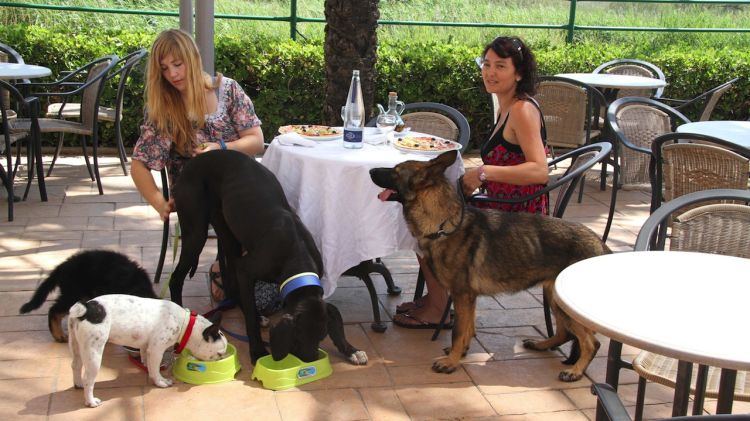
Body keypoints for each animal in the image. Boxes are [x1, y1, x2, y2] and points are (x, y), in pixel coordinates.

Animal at [67, 294, 226, 406]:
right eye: (219, 354)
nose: (222, 359)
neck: (185, 324)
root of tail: (86, 308)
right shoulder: (156, 350)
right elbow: (155, 368)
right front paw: (160, 381)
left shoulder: (146, 346)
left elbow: (145, 356)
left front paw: (144, 364)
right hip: (94, 352)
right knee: (88, 379)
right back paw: (91, 401)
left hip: (76, 344)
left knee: (76, 365)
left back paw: (78, 384)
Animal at [370, 150, 612, 380]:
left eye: (395, 172)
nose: (371, 170)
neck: (443, 224)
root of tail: (601, 245)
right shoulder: (469, 298)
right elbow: (468, 328)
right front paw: (461, 353)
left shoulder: (462, 295)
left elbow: (458, 331)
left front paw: (451, 362)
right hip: (554, 297)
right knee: (565, 333)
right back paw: (541, 345)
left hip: (562, 303)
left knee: (591, 342)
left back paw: (575, 372)